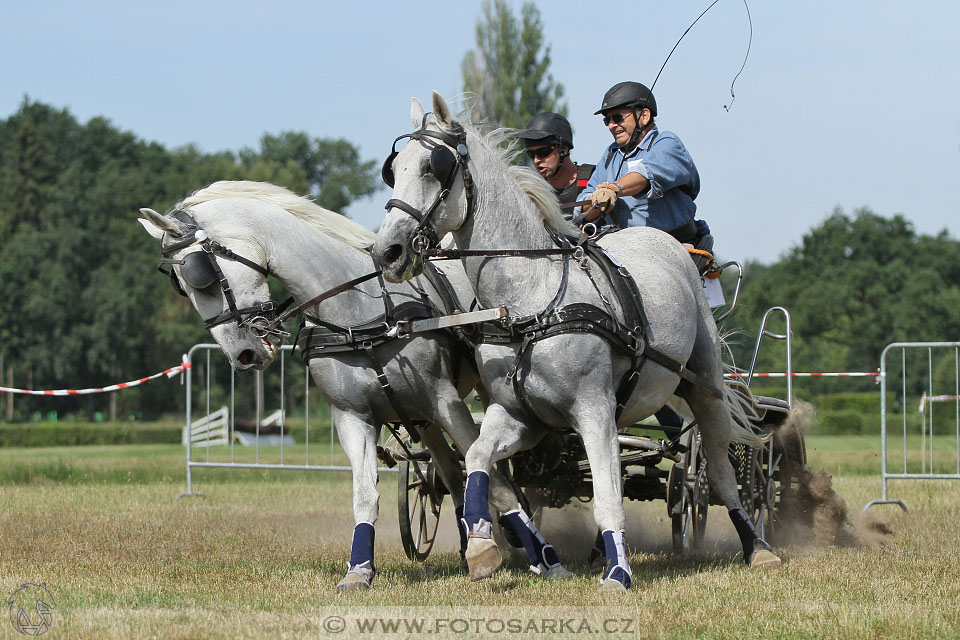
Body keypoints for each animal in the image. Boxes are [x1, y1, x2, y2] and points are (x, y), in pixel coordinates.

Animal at [137, 181, 568, 596]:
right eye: (183, 288)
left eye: (201, 277)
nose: (241, 356)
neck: (357, 313)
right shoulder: (352, 417)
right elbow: (365, 495)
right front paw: (358, 572)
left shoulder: (444, 399)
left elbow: (495, 478)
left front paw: (546, 559)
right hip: (421, 418)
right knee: (448, 473)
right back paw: (466, 545)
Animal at [372, 92, 784, 592]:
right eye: (394, 169)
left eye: (433, 167)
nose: (386, 253)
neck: (530, 299)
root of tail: (668, 244)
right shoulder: (520, 415)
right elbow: (478, 459)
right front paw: (484, 545)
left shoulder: (593, 410)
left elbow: (608, 497)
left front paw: (619, 573)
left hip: (704, 387)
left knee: (718, 474)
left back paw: (757, 548)